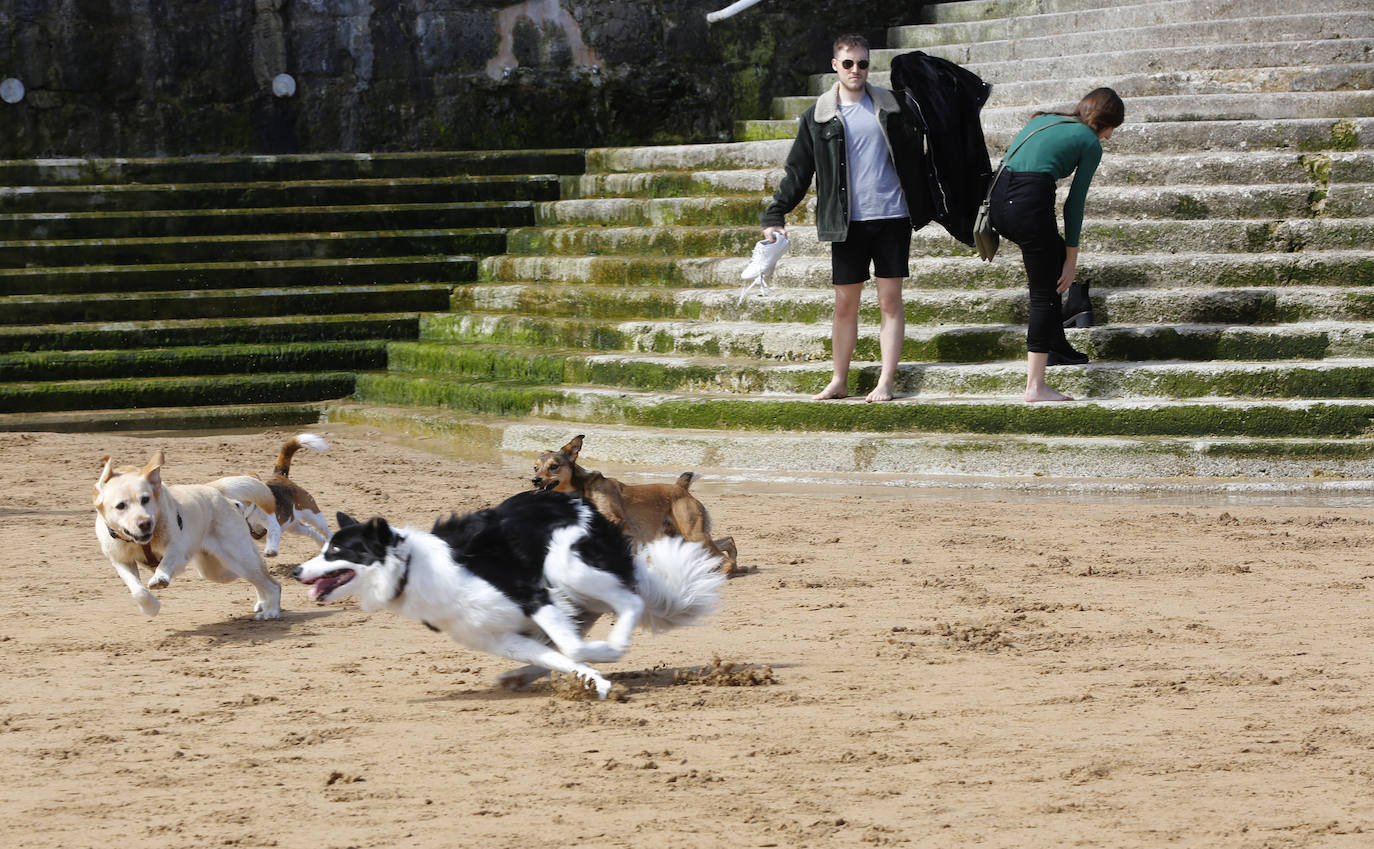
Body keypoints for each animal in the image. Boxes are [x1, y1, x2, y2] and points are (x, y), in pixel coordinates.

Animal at [93, 445, 281, 618]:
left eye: (145, 499)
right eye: (120, 506)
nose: (145, 523)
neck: (142, 543)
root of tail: (214, 489)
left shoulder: (177, 547)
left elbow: (166, 561)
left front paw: (160, 578)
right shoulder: (121, 561)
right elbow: (138, 591)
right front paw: (151, 608)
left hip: (237, 556)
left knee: (271, 582)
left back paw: (271, 611)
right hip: (216, 569)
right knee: (257, 578)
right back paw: (262, 603)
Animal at [530, 436, 741, 574]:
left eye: (554, 466)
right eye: (535, 467)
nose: (535, 480)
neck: (580, 488)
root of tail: (680, 487)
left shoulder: (618, 522)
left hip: (693, 535)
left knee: (722, 556)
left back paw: (725, 571)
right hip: (681, 536)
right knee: (727, 541)